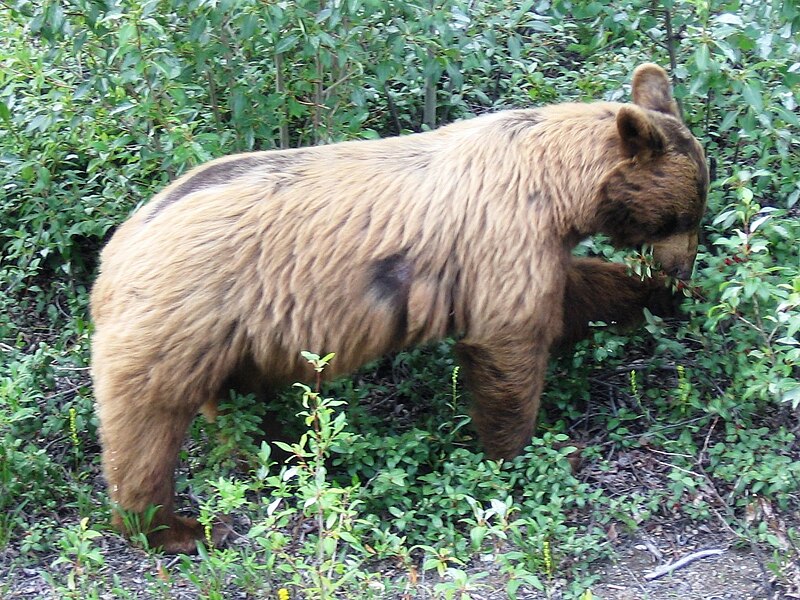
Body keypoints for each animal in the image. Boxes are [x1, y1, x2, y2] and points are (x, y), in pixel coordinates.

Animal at [92, 64, 708, 552]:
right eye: (681, 216)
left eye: (695, 210)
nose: (682, 265)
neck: (555, 184)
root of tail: (113, 257)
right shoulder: (504, 234)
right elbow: (511, 339)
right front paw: (532, 452)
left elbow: (575, 292)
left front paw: (663, 293)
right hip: (181, 319)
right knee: (145, 430)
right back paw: (175, 527)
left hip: (240, 335)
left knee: (240, 400)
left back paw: (283, 452)